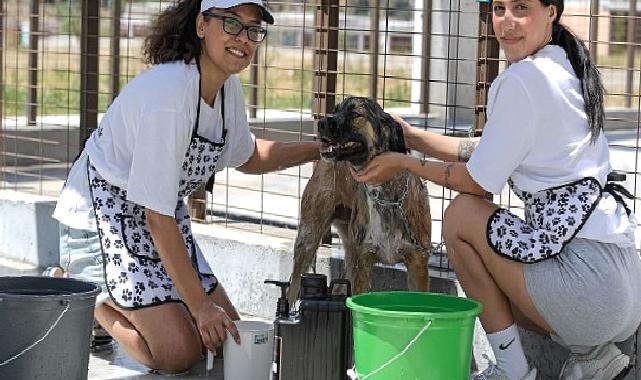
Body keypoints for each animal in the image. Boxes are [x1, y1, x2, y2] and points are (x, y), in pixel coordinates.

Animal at [288, 96, 430, 302]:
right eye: (335, 110)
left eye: (356, 114)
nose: (321, 123)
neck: (384, 196)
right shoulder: (362, 263)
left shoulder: (418, 262)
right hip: (308, 241)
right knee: (291, 289)